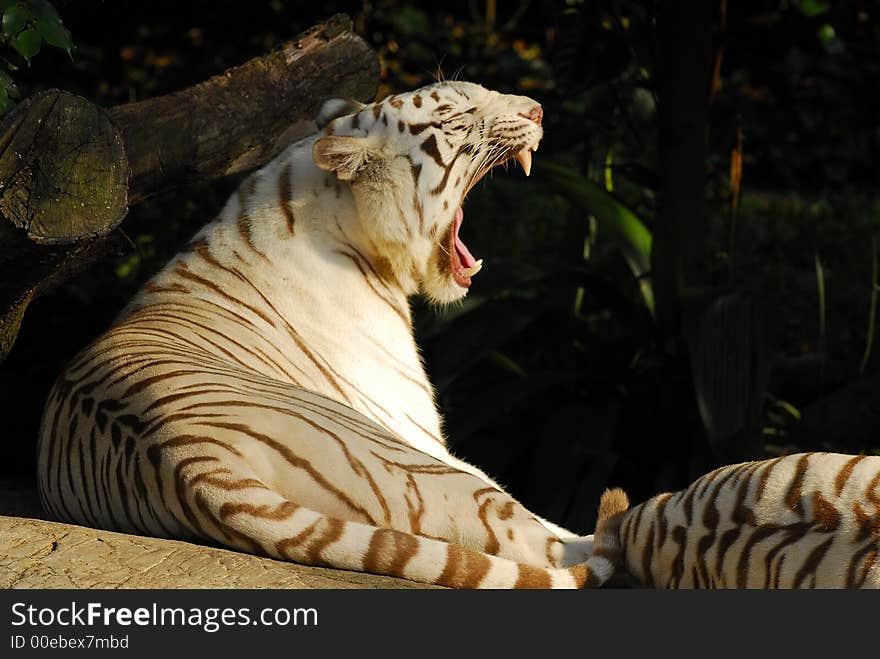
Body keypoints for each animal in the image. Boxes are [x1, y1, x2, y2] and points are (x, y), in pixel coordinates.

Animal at [37, 80, 612, 592]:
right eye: (456, 115)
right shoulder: (418, 428)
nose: (538, 110)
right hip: (427, 470)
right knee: (559, 548)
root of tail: (191, 460)